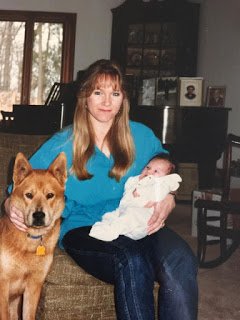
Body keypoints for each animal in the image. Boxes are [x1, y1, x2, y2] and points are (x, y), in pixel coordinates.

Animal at [0, 152, 66, 320]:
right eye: (29, 195)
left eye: (50, 195)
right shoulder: (3, 284)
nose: (38, 215)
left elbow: (28, 315)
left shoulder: (34, 285)